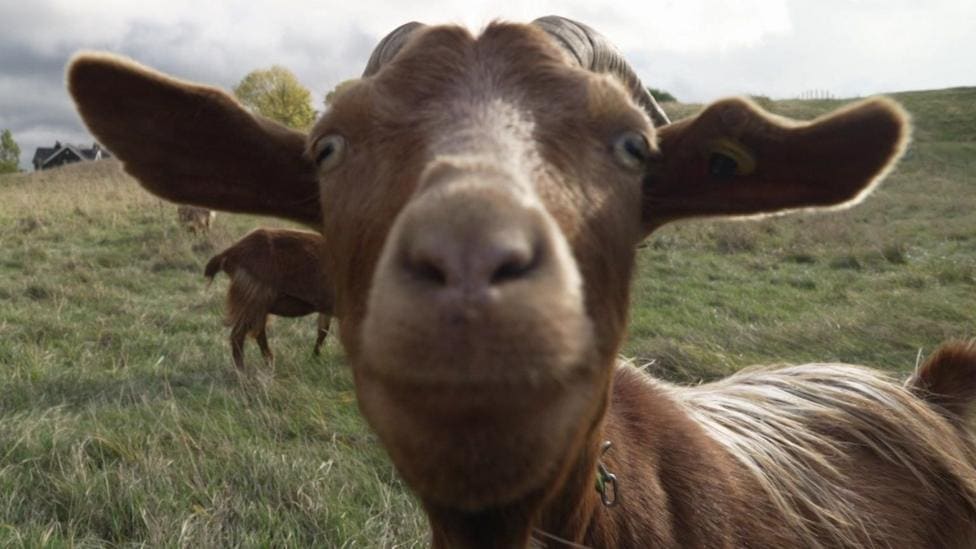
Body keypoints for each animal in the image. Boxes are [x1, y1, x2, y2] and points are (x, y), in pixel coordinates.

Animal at [204, 228, 333, 370]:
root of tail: (230, 253)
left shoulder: (327, 307)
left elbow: (322, 331)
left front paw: (314, 358)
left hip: (256, 303)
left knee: (256, 333)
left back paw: (266, 363)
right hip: (254, 299)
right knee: (240, 335)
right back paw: (245, 370)